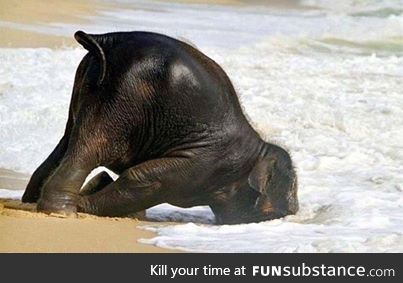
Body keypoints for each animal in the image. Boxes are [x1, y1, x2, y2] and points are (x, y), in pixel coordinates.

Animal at [22, 31, 300, 225]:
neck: (258, 150)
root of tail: (107, 41)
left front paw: (101, 190)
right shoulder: (202, 165)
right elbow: (145, 179)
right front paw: (89, 198)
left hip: (89, 86)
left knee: (67, 140)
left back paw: (32, 202)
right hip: (124, 96)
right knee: (92, 147)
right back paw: (62, 212)